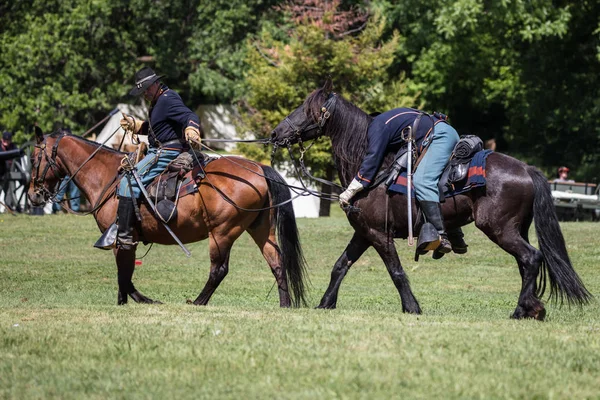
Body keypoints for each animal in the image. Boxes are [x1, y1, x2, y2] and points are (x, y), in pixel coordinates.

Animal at [27, 128, 304, 306]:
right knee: (277, 262)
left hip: (222, 233)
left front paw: (139, 301)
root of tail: (259, 168)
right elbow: (125, 274)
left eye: (33, 157)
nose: (33, 195)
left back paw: (197, 302)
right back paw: (285, 305)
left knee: (219, 269)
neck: (107, 177)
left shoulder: (123, 239)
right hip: (260, 229)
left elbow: (124, 274)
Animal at [270, 80, 592, 318]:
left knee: (531, 258)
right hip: (515, 230)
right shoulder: (364, 233)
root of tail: (527, 169)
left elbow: (396, 271)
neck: (375, 171)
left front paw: (412, 307)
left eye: (306, 108)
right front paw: (325, 303)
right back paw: (530, 308)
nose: (275, 133)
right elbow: (341, 265)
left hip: (500, 229)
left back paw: (521, 310)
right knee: (526, 263)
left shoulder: (379, 234)